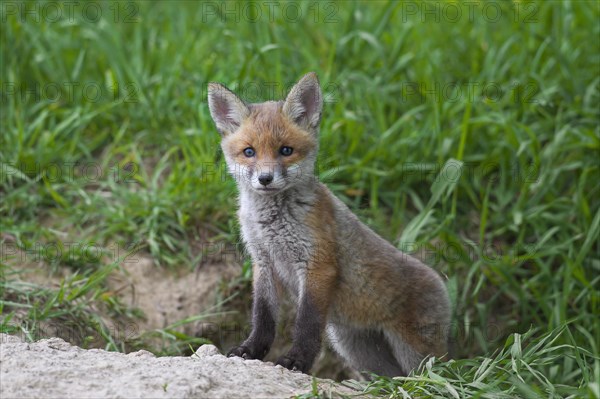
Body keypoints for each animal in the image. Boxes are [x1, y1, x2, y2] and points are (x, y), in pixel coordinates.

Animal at [209, 73, 448, 376]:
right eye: (249, 152)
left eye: (285, 150)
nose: (265, 178)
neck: (272, 224)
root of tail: (443, 287)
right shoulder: (264, 262)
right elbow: (263, 318)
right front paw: (250, 350)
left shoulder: (318, 265)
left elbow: (307, 324)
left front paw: (297, 362)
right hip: (358, 349)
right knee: (390, 377)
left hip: (413, 354)